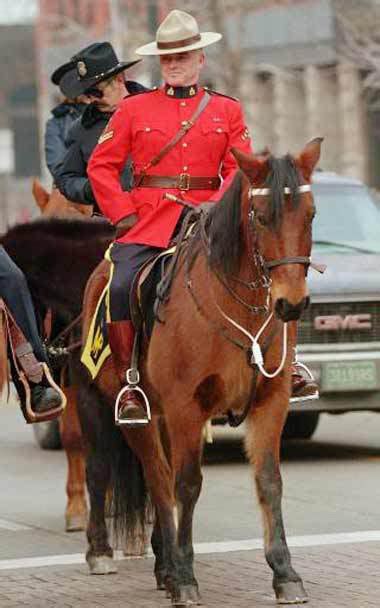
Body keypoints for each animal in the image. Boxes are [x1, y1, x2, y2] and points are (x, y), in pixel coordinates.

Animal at [81, 139, 324, 608]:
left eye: (311, 213)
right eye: (261, 217)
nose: (291, 304)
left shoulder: (271, 402)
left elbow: (269, 480)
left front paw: (285, 572)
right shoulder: (185, 408)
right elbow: (187, 485)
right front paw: (186, 576)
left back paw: (163, 564)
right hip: (131, 411)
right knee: (157, 479)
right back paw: (161, 566)